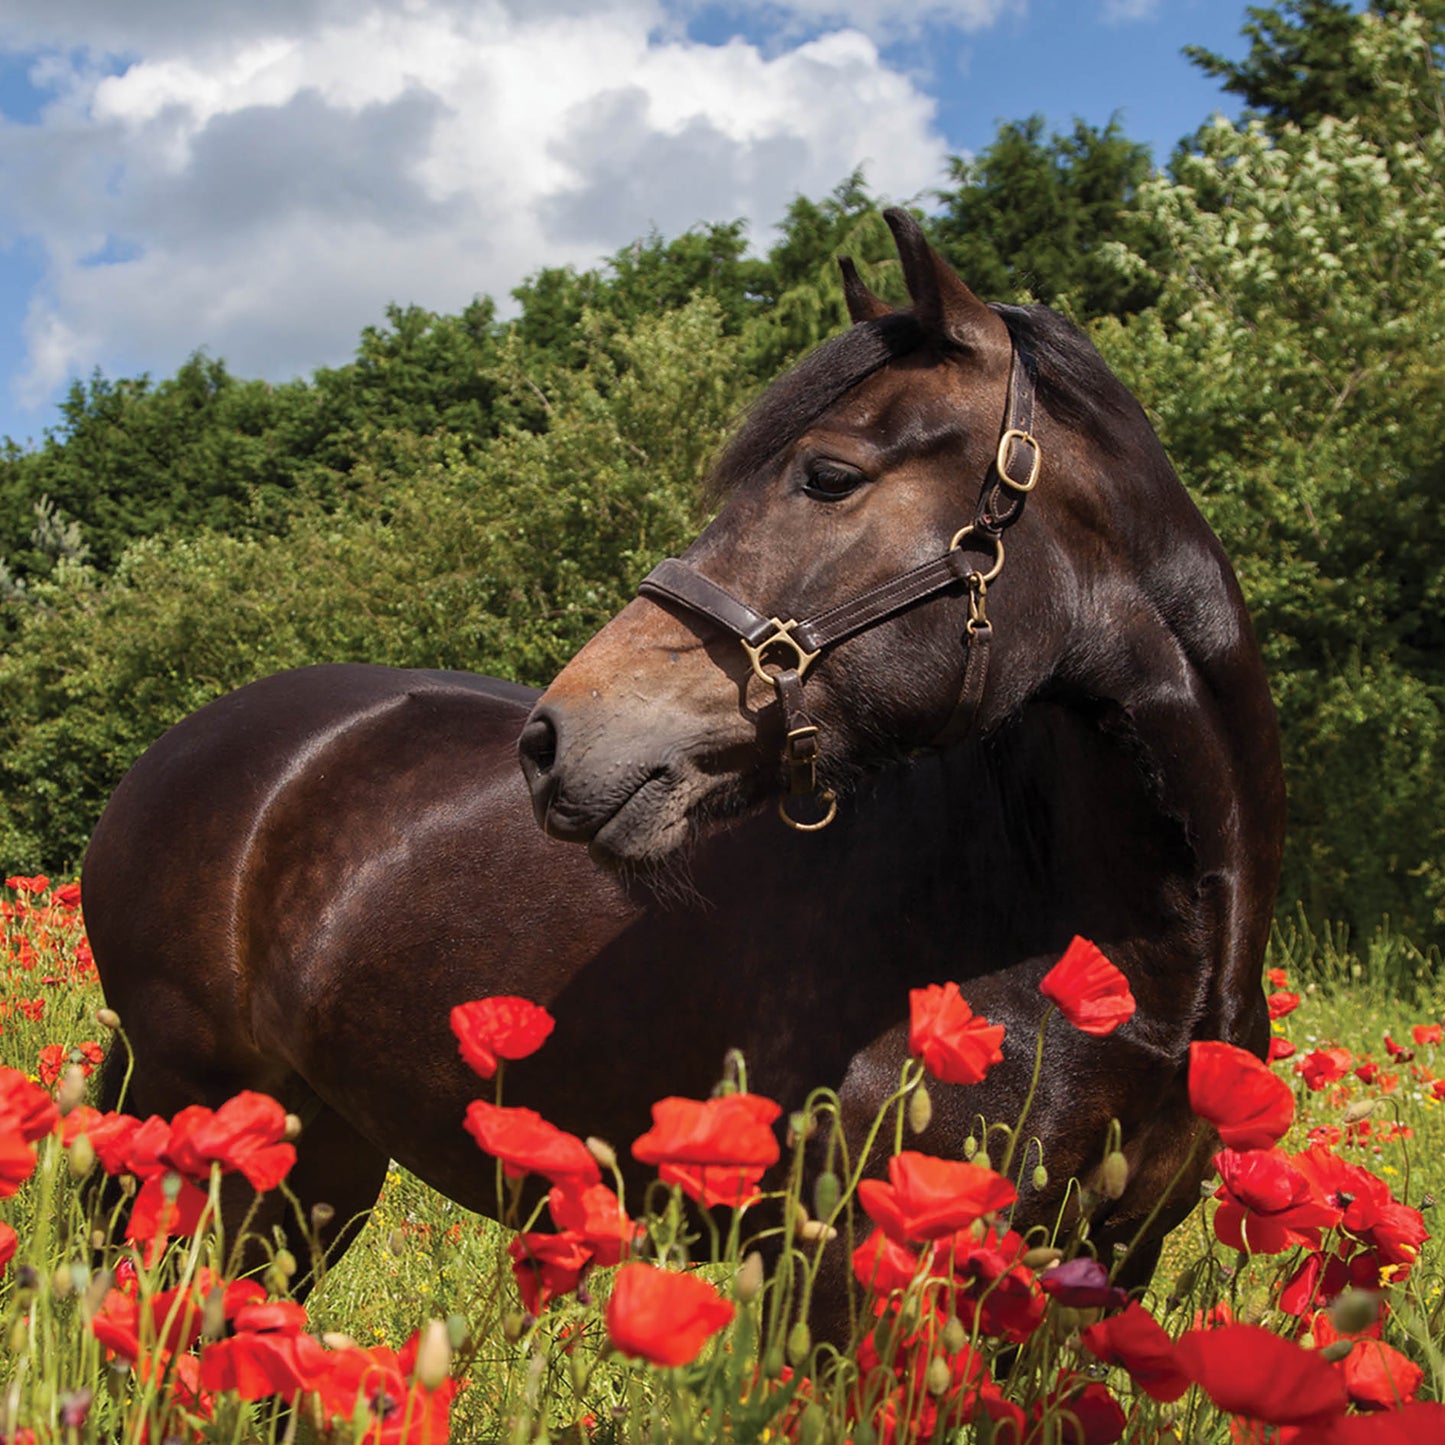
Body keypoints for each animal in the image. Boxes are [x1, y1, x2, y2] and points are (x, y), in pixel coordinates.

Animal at [82, 209, 1284, 1332]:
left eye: (828, 475)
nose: (551, 740)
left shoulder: (1101, 1271)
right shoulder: (846, 1278)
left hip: (317, 1158)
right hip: (197, 1128)